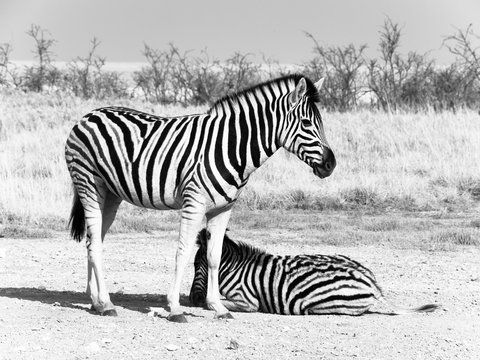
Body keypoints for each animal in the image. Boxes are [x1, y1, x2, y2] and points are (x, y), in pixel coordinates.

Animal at [64, 74, 338, 322]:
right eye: (306, 123)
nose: (331, 165)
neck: (230, 147)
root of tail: (89, 115)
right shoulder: (193, 203)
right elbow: (183, 252)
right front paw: (175, 308)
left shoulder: (223, 208)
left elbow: (215, 257)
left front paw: (219, 307)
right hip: (89, 184)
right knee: (95, 244)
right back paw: (107, 303)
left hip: (110, 195)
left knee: (93, 241)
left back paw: (96, 301)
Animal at [188, 231, 438, 316]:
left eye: (195, 264)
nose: (192, 297)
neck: (236, 270)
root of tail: (373, 283)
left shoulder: (248, 301)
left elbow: (220, 302)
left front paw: (208, 303)